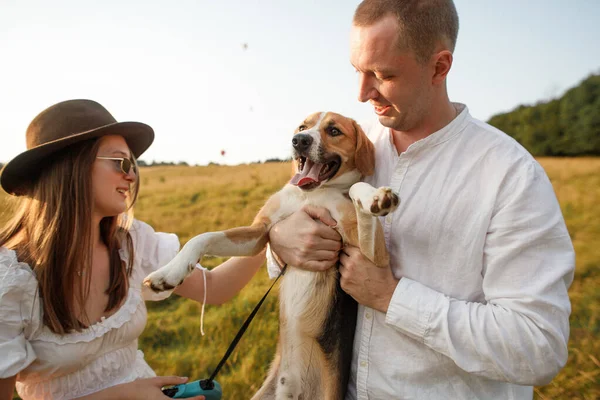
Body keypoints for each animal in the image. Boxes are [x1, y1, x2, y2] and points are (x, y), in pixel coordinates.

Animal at [145, 111, 398, 400]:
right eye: (302, 126)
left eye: (334, 130)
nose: (299, 140)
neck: (311, 194)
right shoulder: (259, 234)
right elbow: (203, 237)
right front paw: (168, 273)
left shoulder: (375, 258)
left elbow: (358, 188)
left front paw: (376, 198)